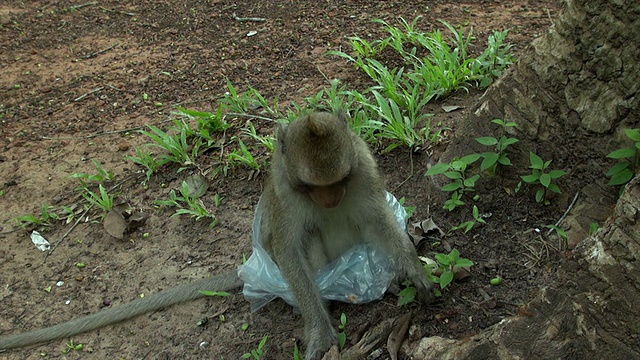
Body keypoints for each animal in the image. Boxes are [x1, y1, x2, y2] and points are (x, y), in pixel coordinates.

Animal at [0, 111, 432, 358]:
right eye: (311, 187)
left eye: (338, 180)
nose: (330, 199)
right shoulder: (284, 193)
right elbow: (287, 249)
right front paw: (320, 332)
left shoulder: (363, 168)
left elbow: (378, 219)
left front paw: (414, 272)